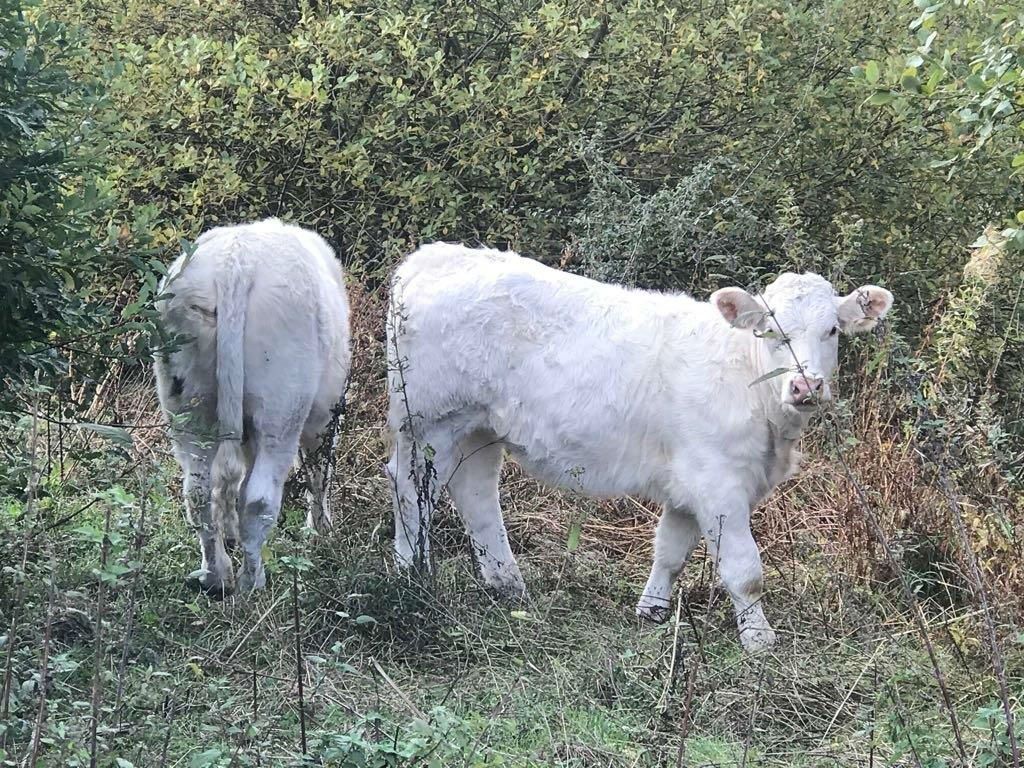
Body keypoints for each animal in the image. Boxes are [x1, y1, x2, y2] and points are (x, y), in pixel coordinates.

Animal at [154, 218, 351, 597]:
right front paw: (321, 529)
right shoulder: (326, 411)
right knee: (258, 497)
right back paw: (251, 581)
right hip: (282, 403)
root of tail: (235, 263)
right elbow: (320, 467)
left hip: (186, 404)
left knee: (200, 491)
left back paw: (215, 574)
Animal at [385, 243, 893, 651]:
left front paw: (651, 610)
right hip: (429, 420)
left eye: (831, 330)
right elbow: (744, 570)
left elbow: (670, 551)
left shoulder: (689, 484)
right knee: (411, 490)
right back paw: (412, 573)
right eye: (768, 329)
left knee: (476, 494)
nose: (806, 386)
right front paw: (759, 639)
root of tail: (432, 255)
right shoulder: (719, 483)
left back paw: (507, 584)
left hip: (481, 427)